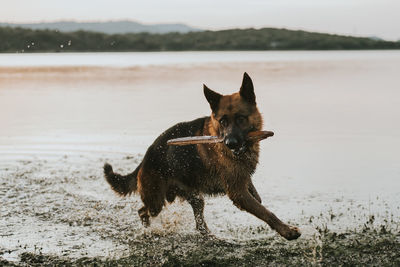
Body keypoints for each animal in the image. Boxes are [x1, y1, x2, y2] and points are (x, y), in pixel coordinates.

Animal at [103, 73, 300, 241]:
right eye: (223, 121)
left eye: (241, 118)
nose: (230, 143)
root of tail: (145, 159)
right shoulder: (238, 192)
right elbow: (265, 212)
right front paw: (287, 231)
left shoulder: (242, 181)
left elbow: (256, 197)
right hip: (156, 200)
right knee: (142, 211)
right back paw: (148, 229)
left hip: (196, 198)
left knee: (199, 223)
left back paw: (210, 236)